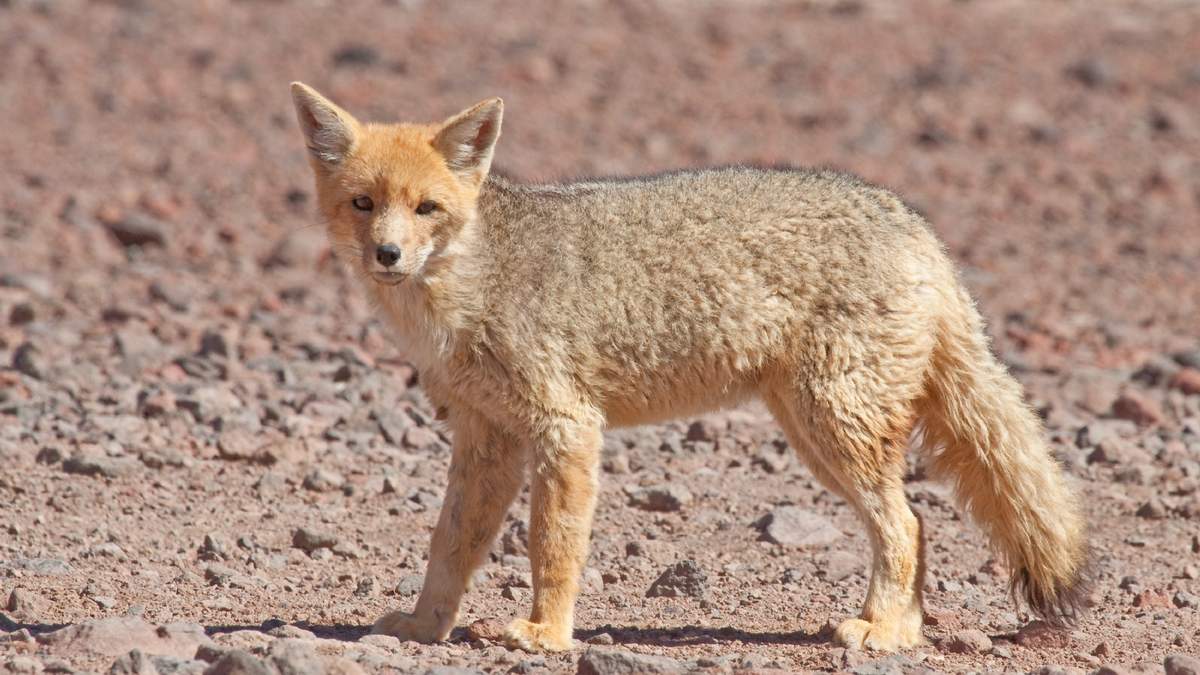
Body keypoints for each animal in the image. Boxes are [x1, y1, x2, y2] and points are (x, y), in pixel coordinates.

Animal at [288, 82, 1088, 653]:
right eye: (363, 203)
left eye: (427, 208)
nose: (387, 254)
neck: (468, 285)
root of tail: (915, 223)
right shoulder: (487, 436)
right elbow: (449, 544)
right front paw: (425, 626)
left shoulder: (567, 427)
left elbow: (554, 543)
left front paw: (545, 633)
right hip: (815, 434)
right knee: (915, 524)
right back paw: (902, 630)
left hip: (837, 430)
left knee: (909, 524)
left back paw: (882, 631)